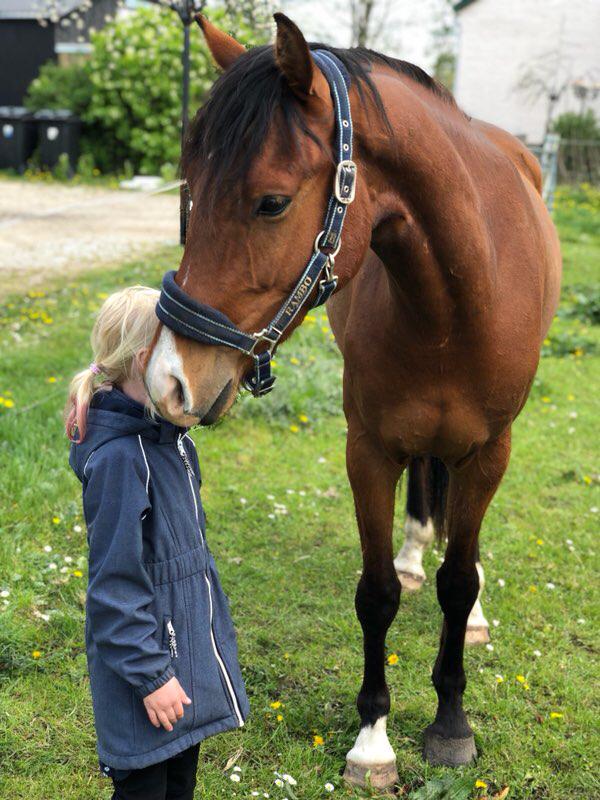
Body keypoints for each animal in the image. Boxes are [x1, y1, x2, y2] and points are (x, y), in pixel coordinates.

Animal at [144, 14, 564, 792]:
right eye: (189, 193)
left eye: (272, 202)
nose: (170, 381)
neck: (454, 303)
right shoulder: (367, 449)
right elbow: (377, 593)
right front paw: (373, 741)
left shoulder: (489, 450)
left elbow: (457, 582)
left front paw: (450, 724)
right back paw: (415, 548)